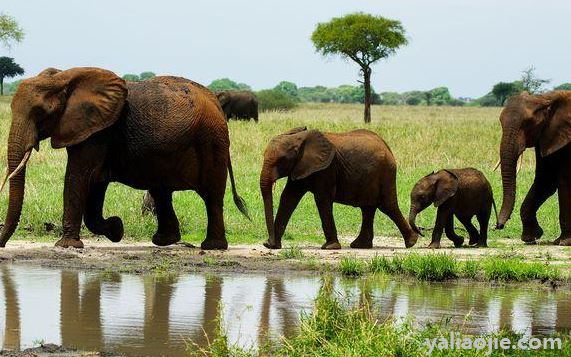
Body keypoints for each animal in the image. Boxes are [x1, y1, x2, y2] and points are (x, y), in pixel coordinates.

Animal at [0, 68, 250, 249]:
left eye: (39, 113)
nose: (2, 245)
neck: (64, 78)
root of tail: (215, 101)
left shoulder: (98, 132)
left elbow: (78, 176)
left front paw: (66, 245)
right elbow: (95, 184)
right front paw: (116, 229)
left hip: (211, 141)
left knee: (211, 196)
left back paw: (212, 247)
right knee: (161, 191)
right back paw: (164, 241)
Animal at [262, 126, 418, 249]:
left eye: (281, 161)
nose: (268, 242)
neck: (299, 139)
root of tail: (387, 147)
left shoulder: (327, 169)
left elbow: (322, 200)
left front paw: (330, 247)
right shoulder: (300, 167)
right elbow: (288, 198)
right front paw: (272, 246)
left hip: (386, 172)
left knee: (387, 206)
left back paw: (412, 242)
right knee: (368, 208)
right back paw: (360, 245)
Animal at [496, 91, 571, 245]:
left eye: (528, 123)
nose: (498, 226)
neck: (545, 98)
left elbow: (564, 180)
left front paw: (563, 242)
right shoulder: (547, 136)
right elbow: (545, 180)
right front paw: (531, 237)